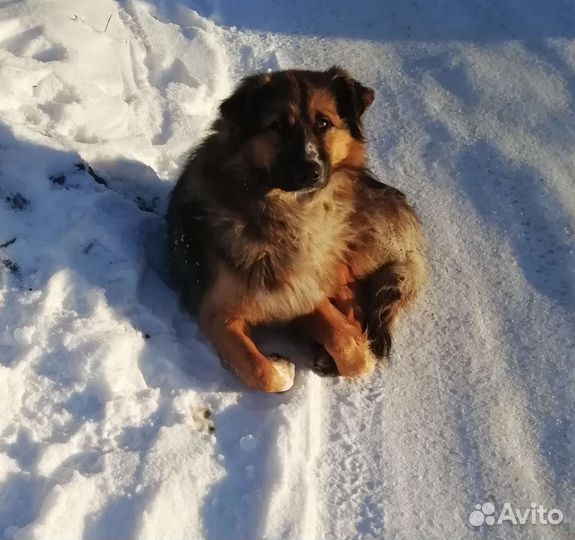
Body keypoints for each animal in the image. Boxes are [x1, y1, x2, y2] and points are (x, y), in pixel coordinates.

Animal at [166, 66, 428, 392]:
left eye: (324, 123)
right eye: (278, 125)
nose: (311, 171)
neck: (287, 214)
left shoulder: (306, 289)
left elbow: (351, 350)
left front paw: (348, 346)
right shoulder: (216, 313)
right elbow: (263, 374)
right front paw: (282, 366)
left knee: (354, 297)